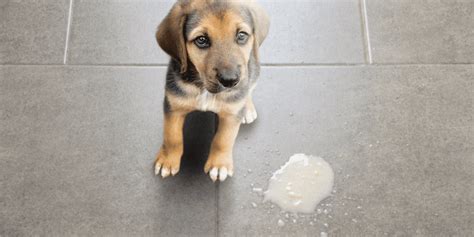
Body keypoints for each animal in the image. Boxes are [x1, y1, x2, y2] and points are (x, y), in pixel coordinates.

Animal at [154, 0, 268, 181]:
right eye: (201, 40)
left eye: (241, 35)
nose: (230, 81)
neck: (204, 89)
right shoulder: (173, 105)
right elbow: (172, 137)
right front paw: (168, 160)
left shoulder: (231, 114)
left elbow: (223, 140)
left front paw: (219, 165)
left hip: (254, 70)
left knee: (249, 88)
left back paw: (247, 108)